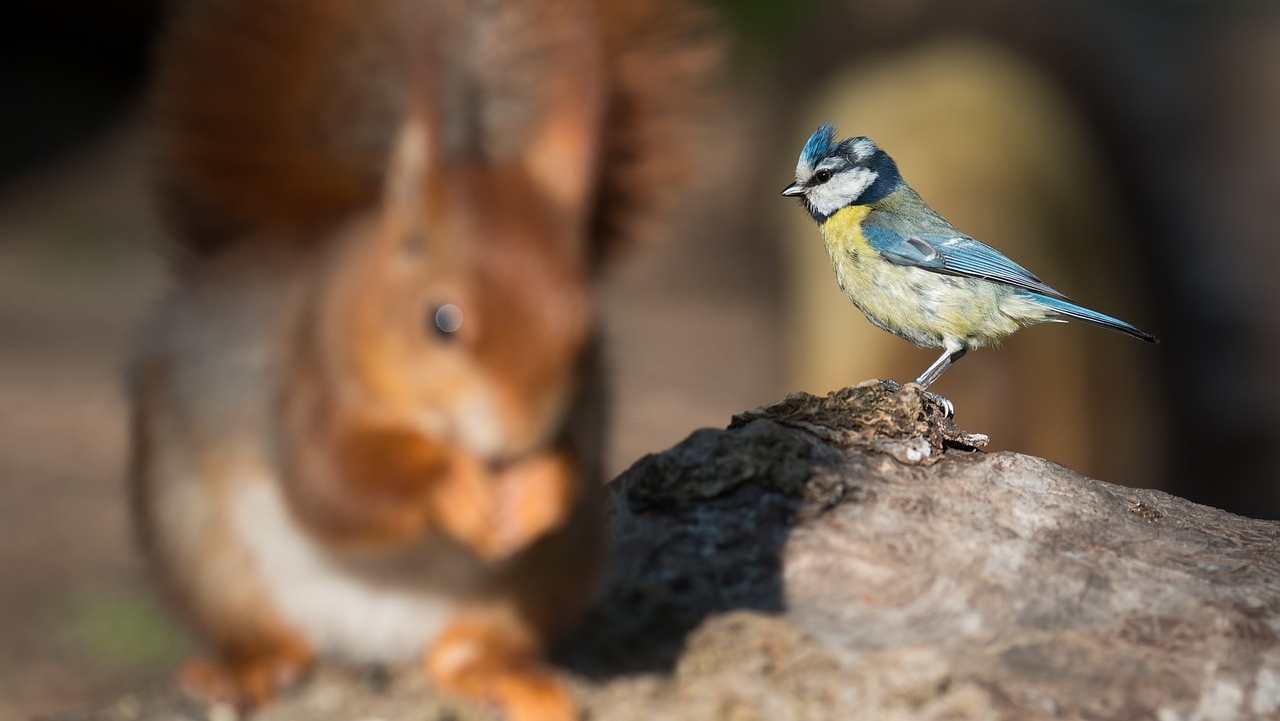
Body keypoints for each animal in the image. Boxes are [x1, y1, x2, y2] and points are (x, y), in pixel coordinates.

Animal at [127, 2, 721, 717]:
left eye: (587, 329)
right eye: (441, 321)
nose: (517, 441)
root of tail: (371, 636)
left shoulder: (584, 410)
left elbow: (575, 467)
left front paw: (541, 487)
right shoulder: (308, 382)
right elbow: (332, 481)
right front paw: (449, 483)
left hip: (544, 578)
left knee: (462, 652)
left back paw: (500, 672)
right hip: (194, 535)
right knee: (261, 624)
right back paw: (251, 664)